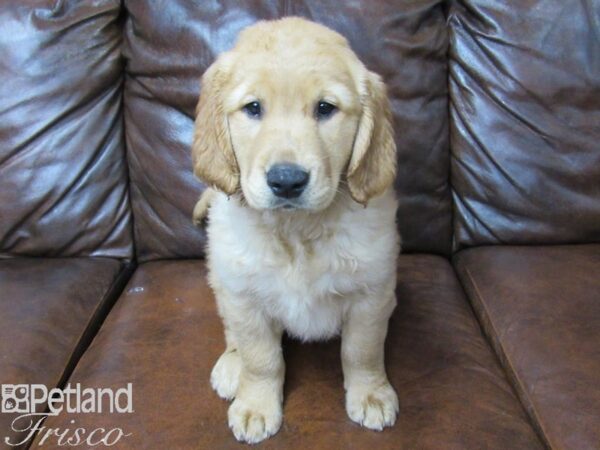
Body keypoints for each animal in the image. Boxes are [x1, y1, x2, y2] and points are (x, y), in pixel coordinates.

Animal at [192, 16, 398, 442]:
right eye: (253, 108)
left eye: (325, 108)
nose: (286, 181)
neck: (297, 232)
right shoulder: (245, 298)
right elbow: (261, 358)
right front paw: (256, 405)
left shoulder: (371, 295)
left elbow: (362, 351)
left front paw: (371, 394)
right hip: (221, 281)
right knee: (231, 332)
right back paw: (231, 367)